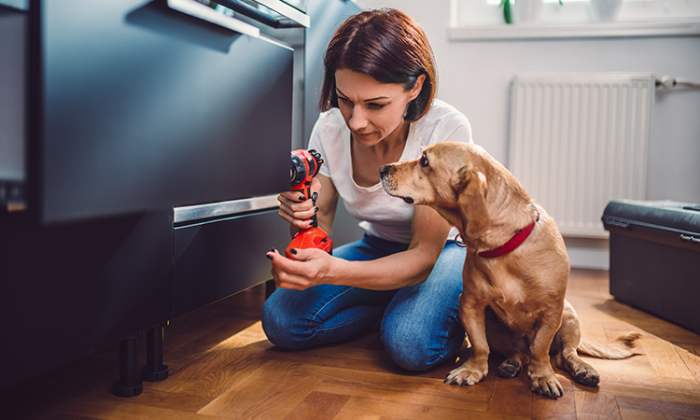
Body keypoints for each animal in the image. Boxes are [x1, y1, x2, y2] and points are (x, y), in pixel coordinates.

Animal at [380, 143, 644, 398]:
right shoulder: (470, 305)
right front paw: (472, 370)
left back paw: (582, 370)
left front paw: (543, 377)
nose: (382, 169)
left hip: (569, 317)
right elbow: (480, 347)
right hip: (494, 326)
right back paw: (511, 364)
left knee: (564, 354)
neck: (504, 245)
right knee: (518, 352)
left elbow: (540, 350)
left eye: (425, 161)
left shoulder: (552, 312)